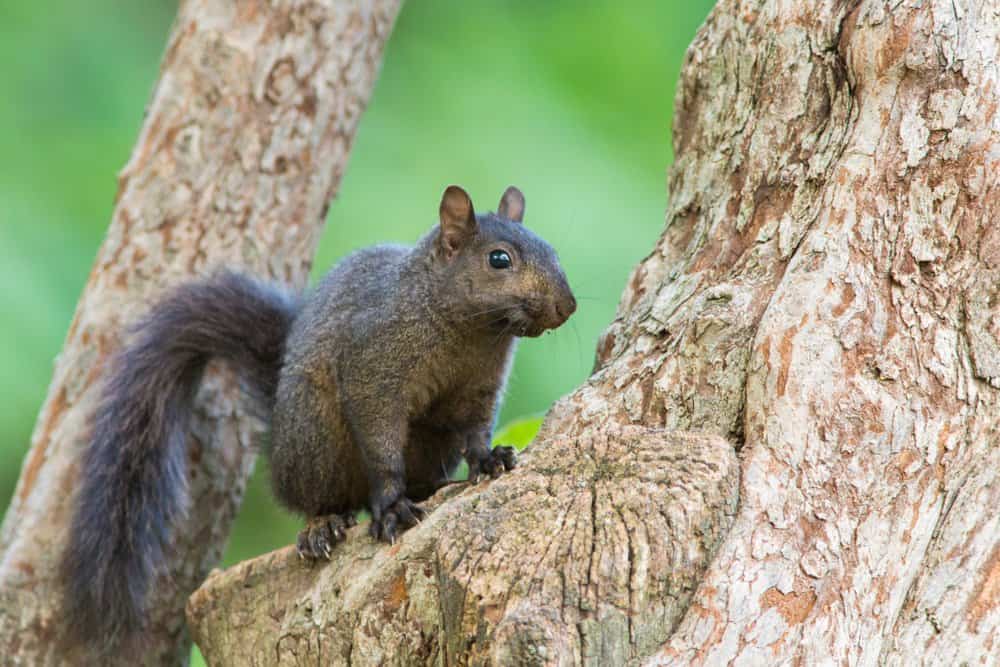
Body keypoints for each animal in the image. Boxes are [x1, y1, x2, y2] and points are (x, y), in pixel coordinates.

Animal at [62, 185, 576, 656]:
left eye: (553, 250)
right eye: (498, 259)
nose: (566, 306)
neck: (469, 332)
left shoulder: (479, 388)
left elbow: (475, 432)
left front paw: (491, 459)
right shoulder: (373, 370)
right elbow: (381, 443)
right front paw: (392, 506)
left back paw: (431, 487)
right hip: (316, 440)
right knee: (314, 497)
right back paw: (322, 525)